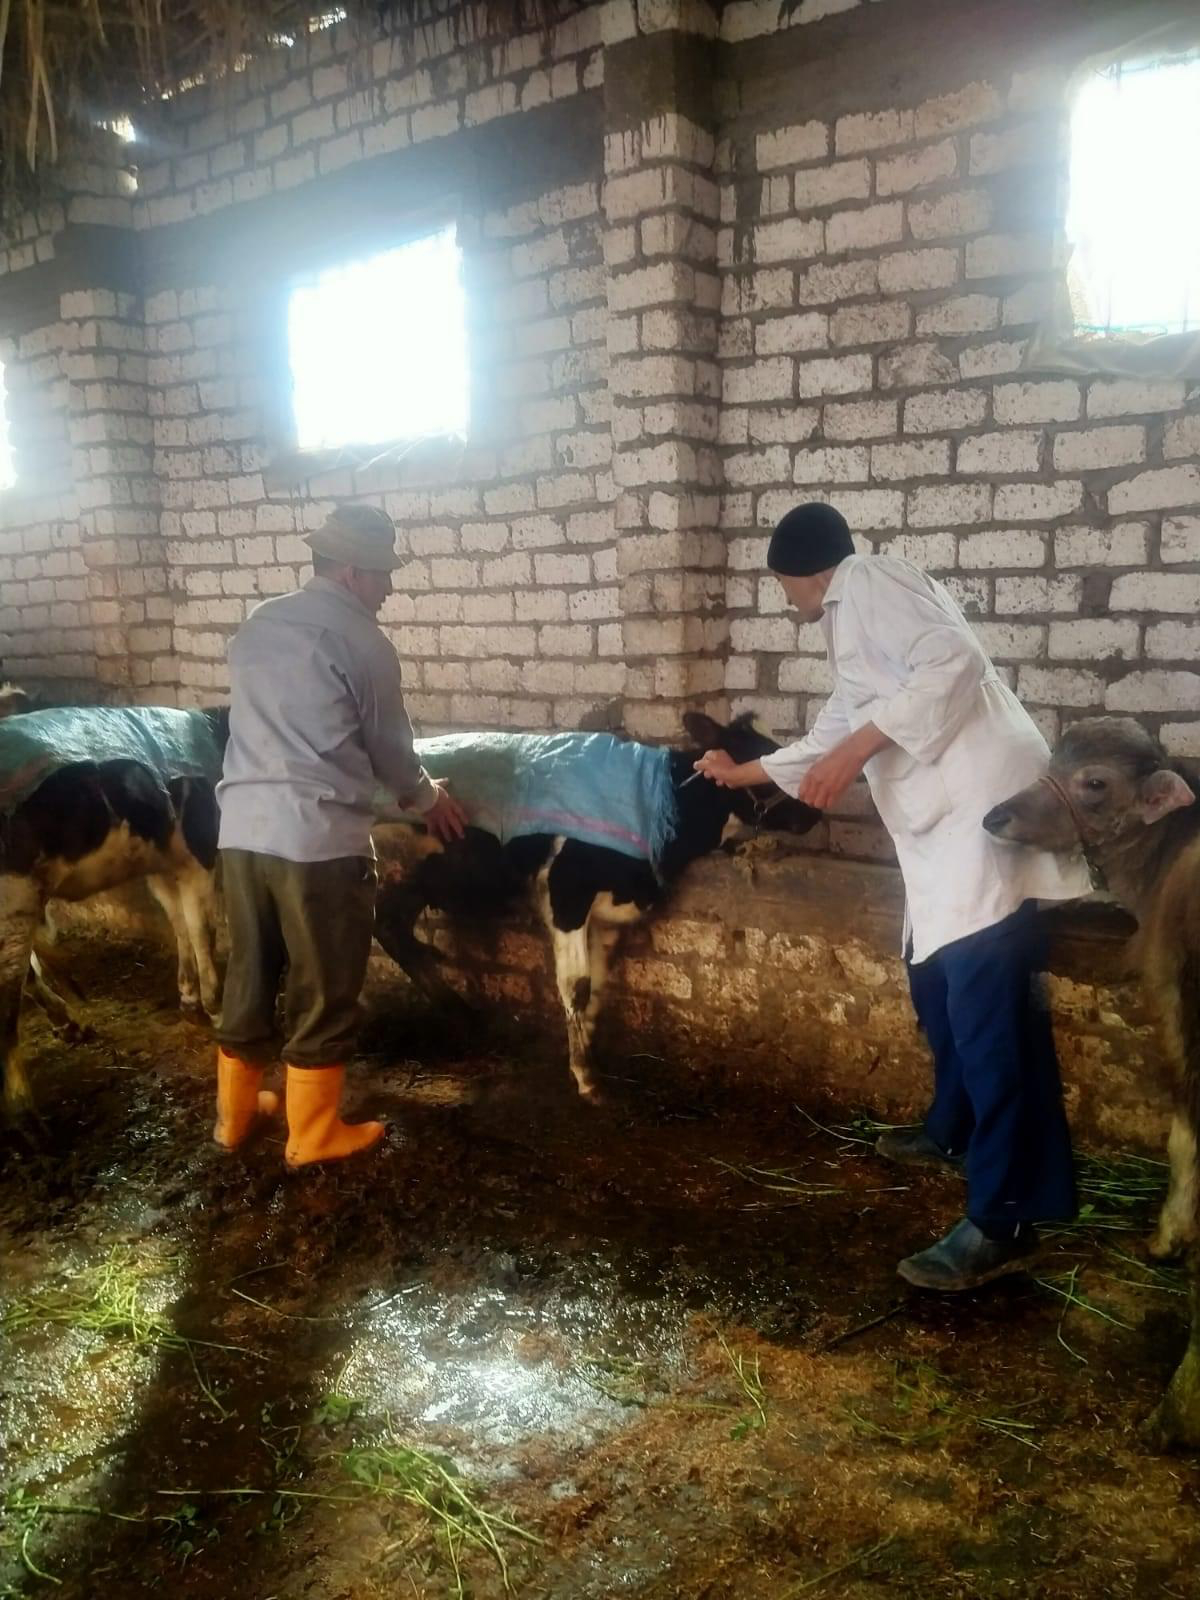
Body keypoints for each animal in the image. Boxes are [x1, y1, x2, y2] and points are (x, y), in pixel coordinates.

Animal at [0, 707, 228, 1116]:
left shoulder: (162, 864)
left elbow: (180, 925)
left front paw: (189, 1000)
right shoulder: (199, 852)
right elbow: (202, 930)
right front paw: (216, 1008)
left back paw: (69, 1025)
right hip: (14, 905)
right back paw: (27, 1118)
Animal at [372, 712, 819, 1100]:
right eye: (759, 755)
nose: (813, 812)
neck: (657, 803)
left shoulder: (610, 915)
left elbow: (599, 986)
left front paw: (584, 1050)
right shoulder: (566, 893)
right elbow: (577, 985)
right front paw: (586, 1077)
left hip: (409, 880)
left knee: (393, 930)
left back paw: (461, 1012)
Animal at [982, 715, 1200, 1448]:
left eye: (1095, 783)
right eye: (1051, 761)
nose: (995, 815)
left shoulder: (1172, 1002)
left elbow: (1182, 1141)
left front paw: (1167, 1238)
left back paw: (1176, 1412)